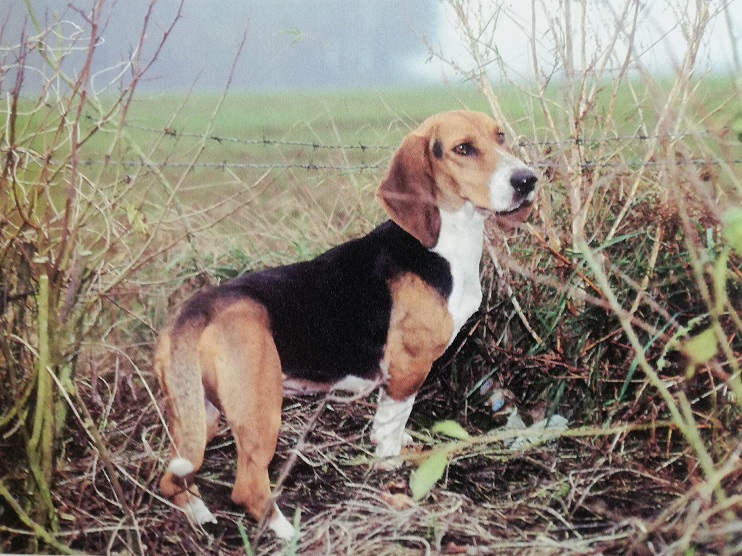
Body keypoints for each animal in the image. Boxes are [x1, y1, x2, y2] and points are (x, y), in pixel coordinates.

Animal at [158, 108, 540, 540]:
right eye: (463, 148)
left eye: (501, 137)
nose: (527, 179)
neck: (445, 244)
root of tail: (198, 308)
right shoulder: (407, 368)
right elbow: (391, 422)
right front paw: (390, 463)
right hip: (259, 411)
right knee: (248, 487)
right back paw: (290, 532)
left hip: (198, 413)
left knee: (172, 477)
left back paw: (200, 516)